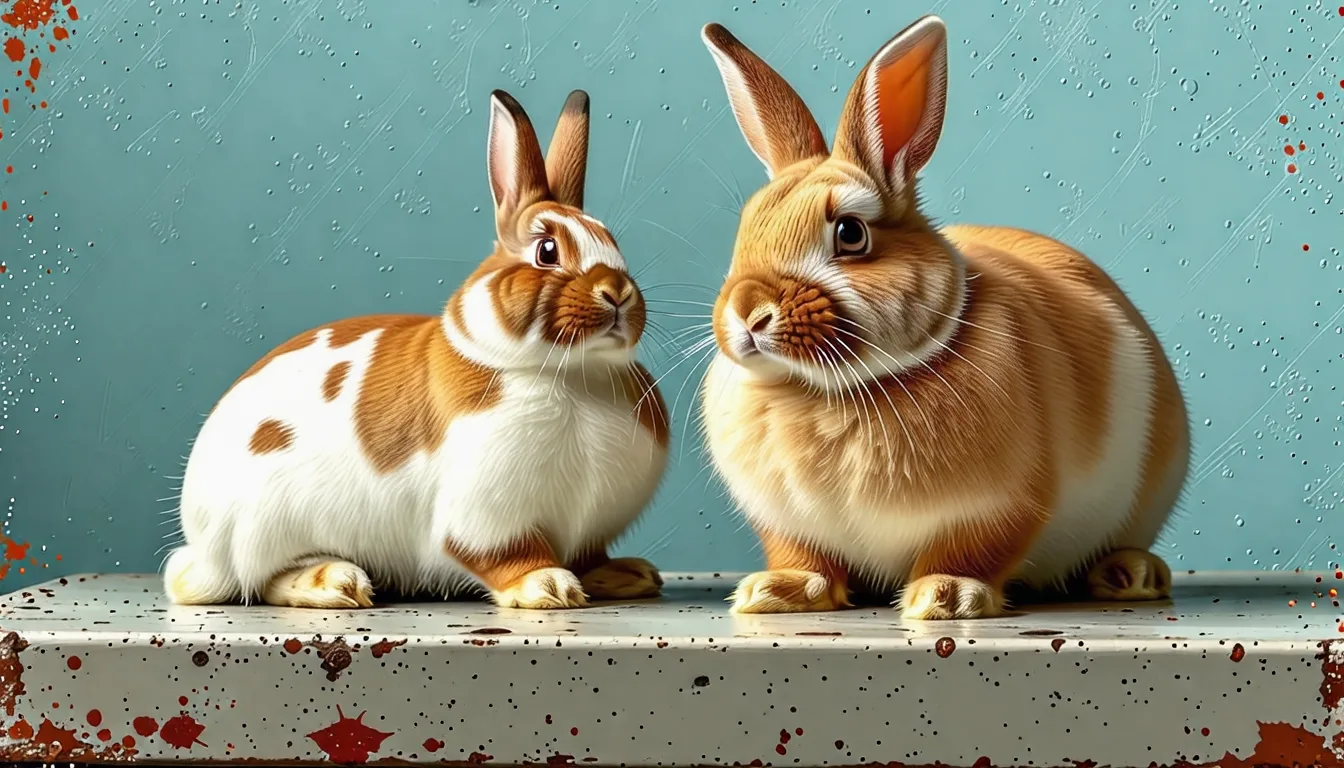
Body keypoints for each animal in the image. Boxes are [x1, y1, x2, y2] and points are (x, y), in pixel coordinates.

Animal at [163, 89, 670, 611]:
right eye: (547, 250)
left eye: (613, 244)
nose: (618, 293)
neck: (569, 373)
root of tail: (201, 551)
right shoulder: (487, 517)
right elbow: (508, 554)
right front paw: (547, 586)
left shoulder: (588, 529)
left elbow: (588, 555)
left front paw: (622, 575)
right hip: (266, 526)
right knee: (262, 579)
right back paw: (335, 582)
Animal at [697, 16, 1189, 620]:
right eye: (745, 229)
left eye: (850, 234)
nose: (747, 312)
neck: (826, 392)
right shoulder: (786, 520)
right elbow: (807, 558)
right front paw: (775, 591)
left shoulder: (1001, 506)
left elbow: (970, 550)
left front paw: (946, 596)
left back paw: (1130, 575)